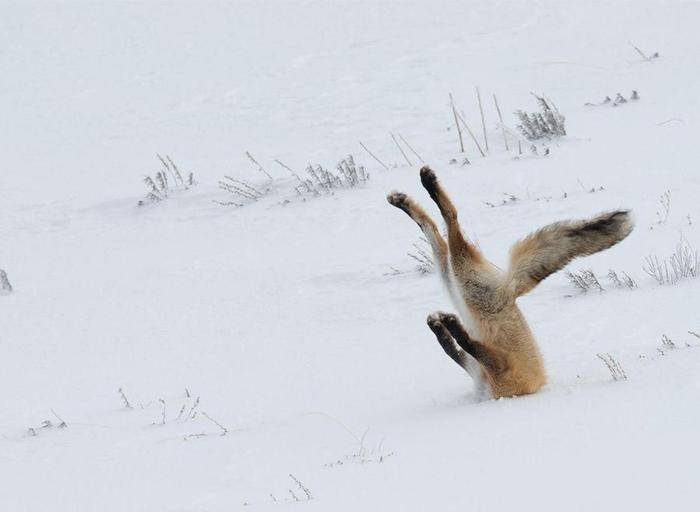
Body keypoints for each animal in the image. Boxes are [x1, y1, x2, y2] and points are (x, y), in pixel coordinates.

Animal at [388, 168, 636, 400]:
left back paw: (427, 184)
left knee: (451, 221)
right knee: (433, 230)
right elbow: (452, 348)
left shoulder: (500, 370)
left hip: (463, 281)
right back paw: (404, 200)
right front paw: (440, 327)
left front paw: (448, 326)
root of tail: (510, 289)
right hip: (453, 280)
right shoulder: (479, 368)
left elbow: (464, 344)